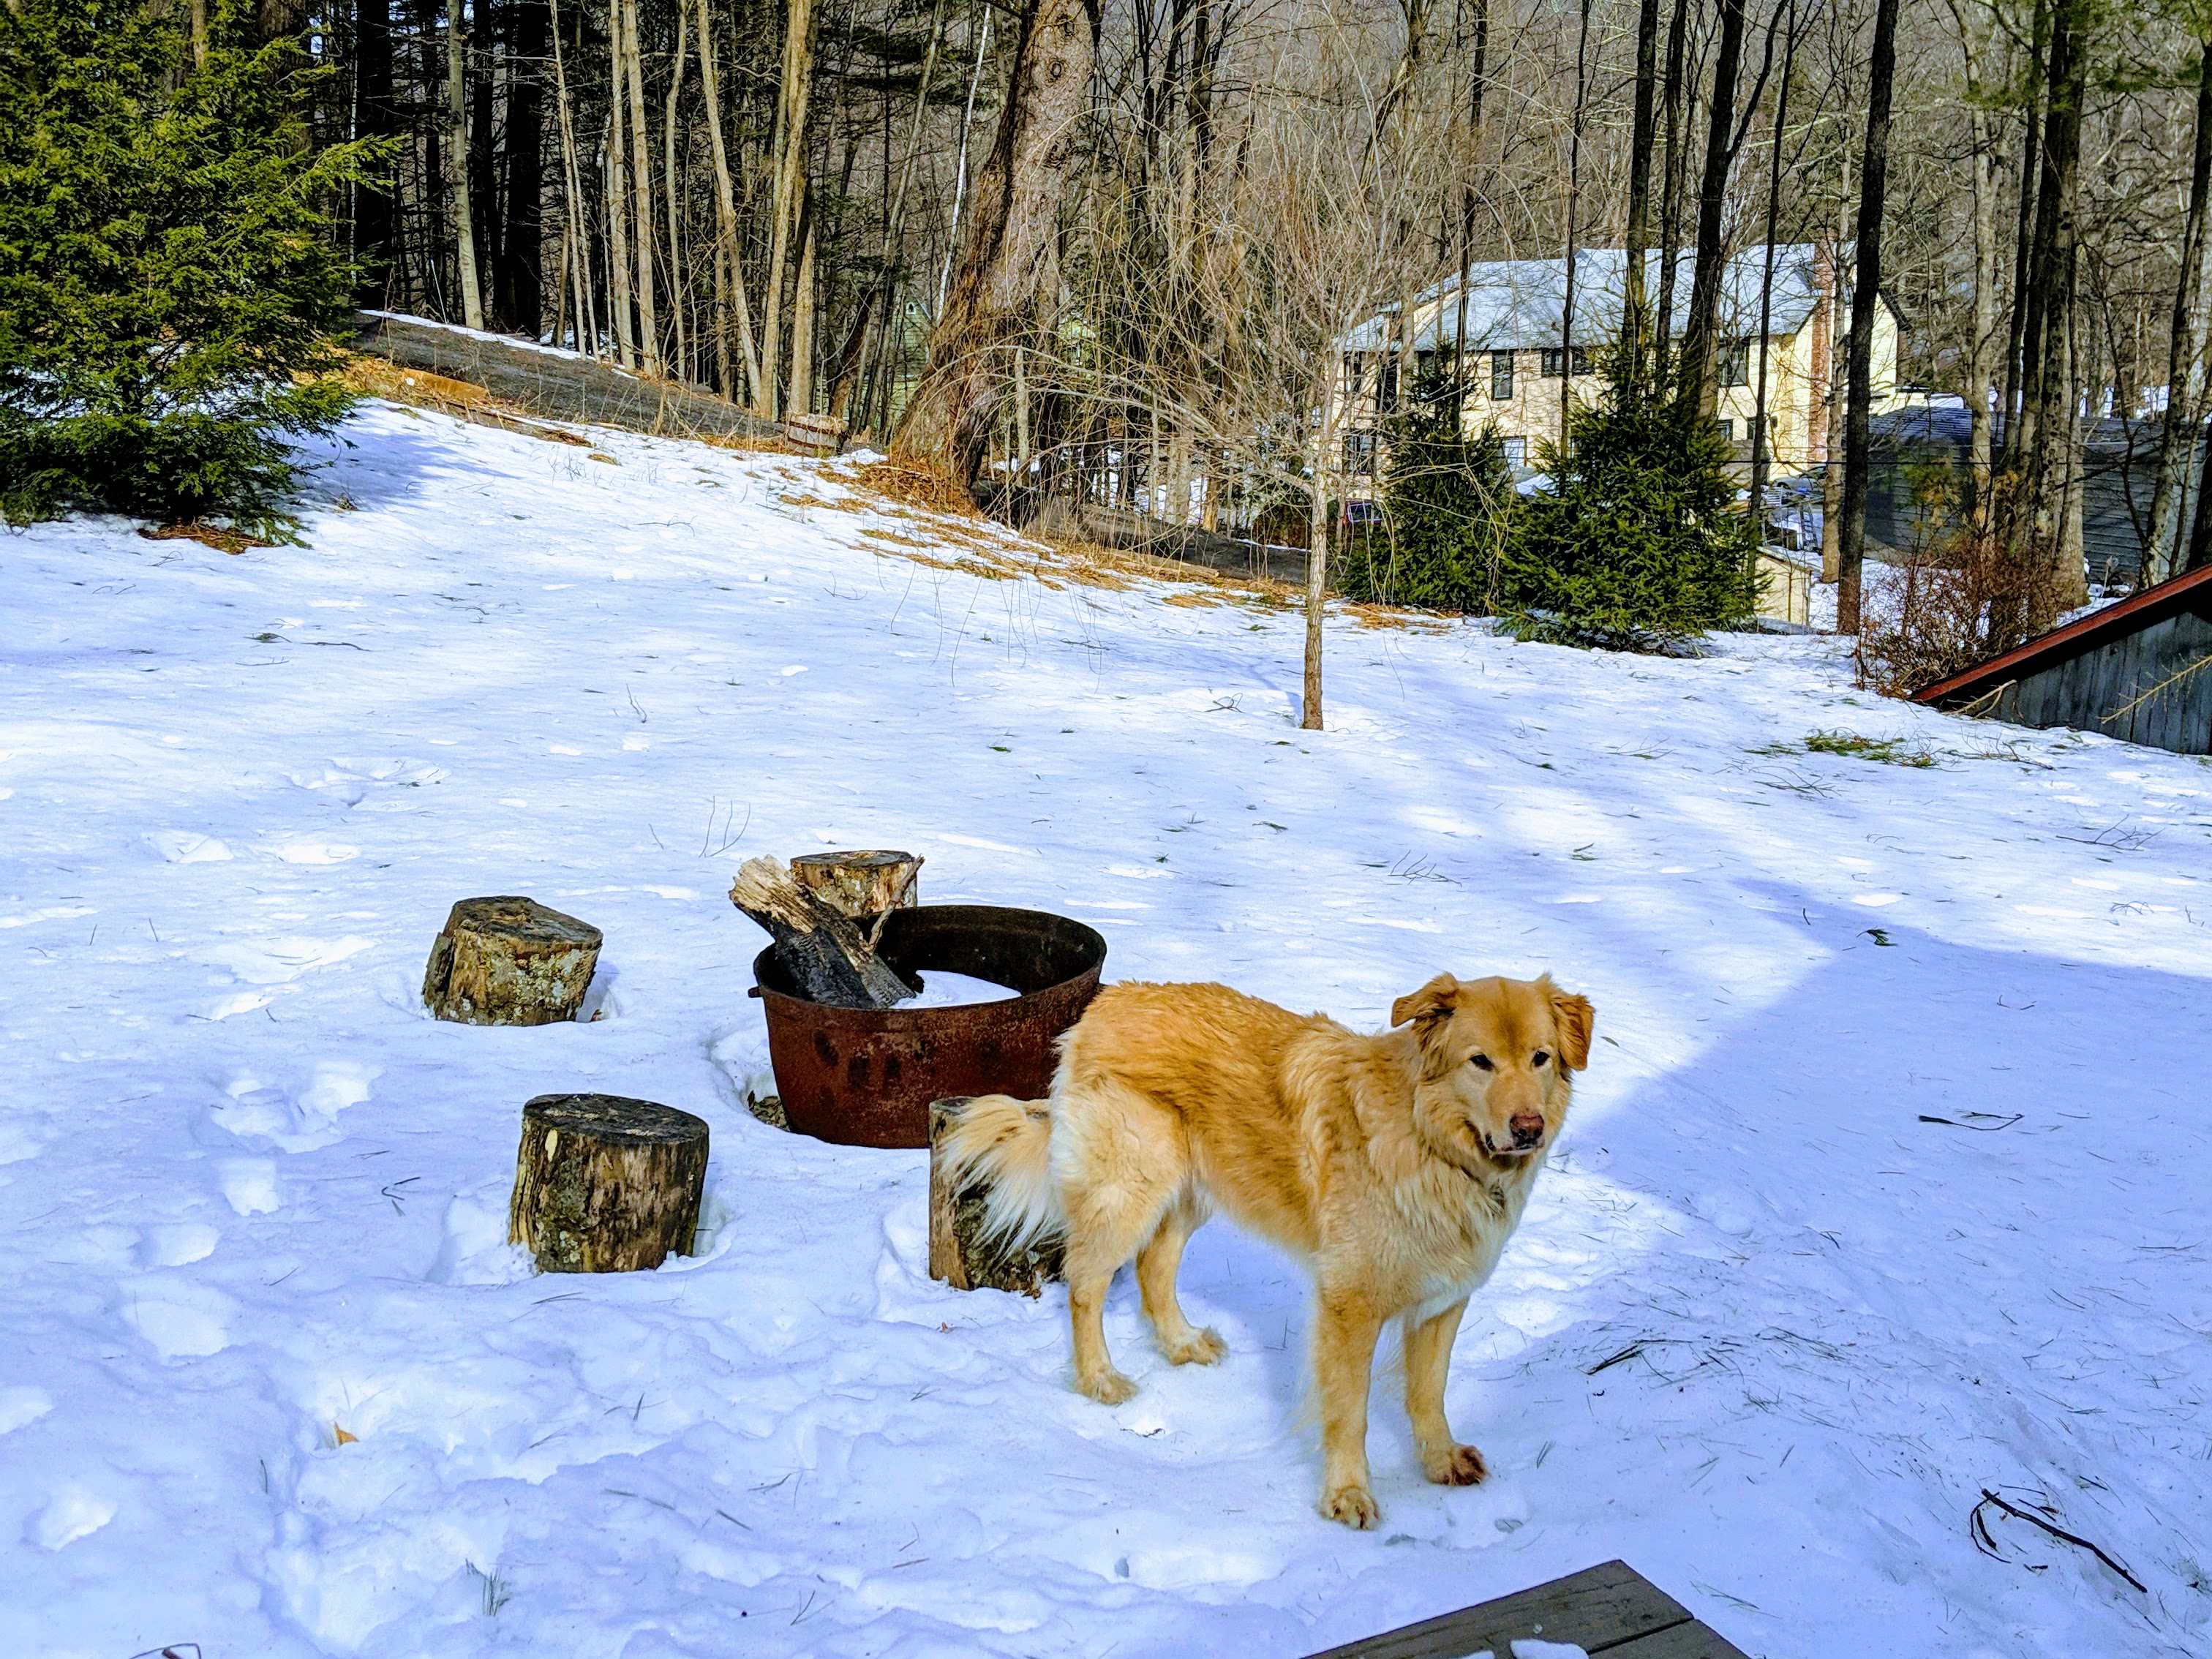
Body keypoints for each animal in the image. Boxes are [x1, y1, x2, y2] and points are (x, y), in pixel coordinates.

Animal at [933, 973, 1592, 1530]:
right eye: (1480, 1062)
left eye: (1541, 1058)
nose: (1529, 1128)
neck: (1430, 1139)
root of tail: (1107, 999)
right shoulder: (1349, 1302)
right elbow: (1349, 1410)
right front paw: (1347, 1496)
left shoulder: (1443, 1299)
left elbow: (1429, 1392)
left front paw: (1440, 1462)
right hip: (1132, 1189)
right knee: (1086, 1284)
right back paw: (1100, 1379)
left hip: (1194, 1190)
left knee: (1154, 1265)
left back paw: (1182, 1343)